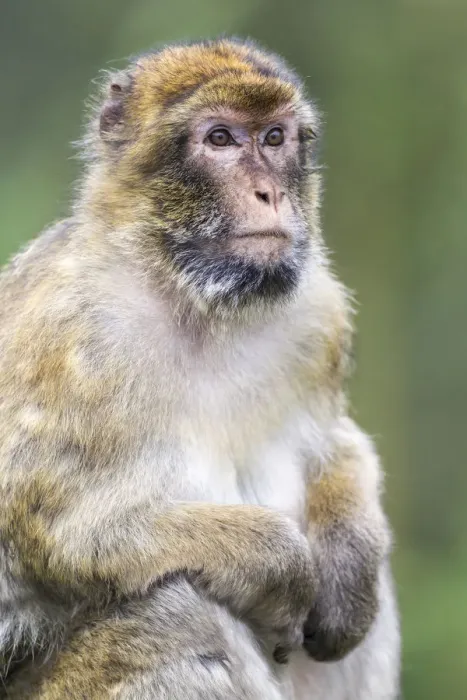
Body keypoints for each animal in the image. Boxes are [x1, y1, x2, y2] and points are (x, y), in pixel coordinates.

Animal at [0, 38, 400, 699]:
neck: (198, 301)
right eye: (219, 139)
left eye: (274, 138)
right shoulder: (68, 335)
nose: (270, 193)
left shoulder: (319, 316)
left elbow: (336, 444)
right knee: (169, 613)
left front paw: (348, 569)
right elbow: (59, 536)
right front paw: (278, 561)